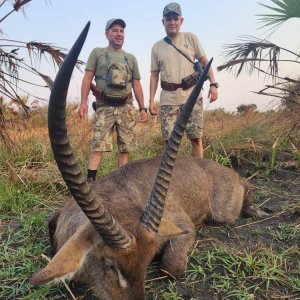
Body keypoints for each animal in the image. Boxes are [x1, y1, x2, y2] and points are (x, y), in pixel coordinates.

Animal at [29, 23, 255, 300]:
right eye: (109, 263)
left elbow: (171, 268)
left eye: (146, 262)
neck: (115, 201)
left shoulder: (182, 227)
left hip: (224, 210)